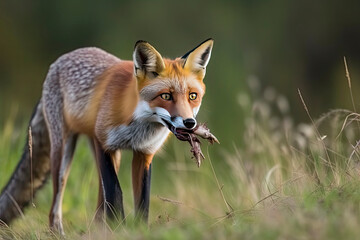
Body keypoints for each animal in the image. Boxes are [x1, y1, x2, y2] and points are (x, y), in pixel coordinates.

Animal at [0, 39, 214, 232]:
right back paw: (57, 231)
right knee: (56, 202)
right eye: (166, 96)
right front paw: (120, 228)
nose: (189, 123)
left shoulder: (144, 153)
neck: (137, 123)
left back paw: (98, 229)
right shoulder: (102, 142)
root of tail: (60, 59)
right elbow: (115, 191)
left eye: (192, 96)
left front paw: (138, 230)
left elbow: (142, 200)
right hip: (63, 152)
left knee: (99, 198)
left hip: (112, 156)